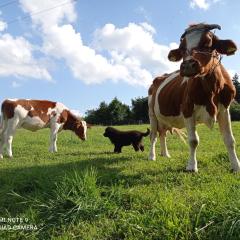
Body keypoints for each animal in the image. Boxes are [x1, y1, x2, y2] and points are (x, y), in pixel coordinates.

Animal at [148, 22, 240, 172]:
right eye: (182, 48)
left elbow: (230, 140)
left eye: (208, 43)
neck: (211, 89)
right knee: (153, 135)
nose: (187, 65)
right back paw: (152, 156)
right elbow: (193, 141)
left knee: (163, 134)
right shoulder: (187, 110)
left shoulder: (224, 109)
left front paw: (236, 166)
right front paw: (191, 166)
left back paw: (165, 154)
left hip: (164, 118)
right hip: (152, 114)